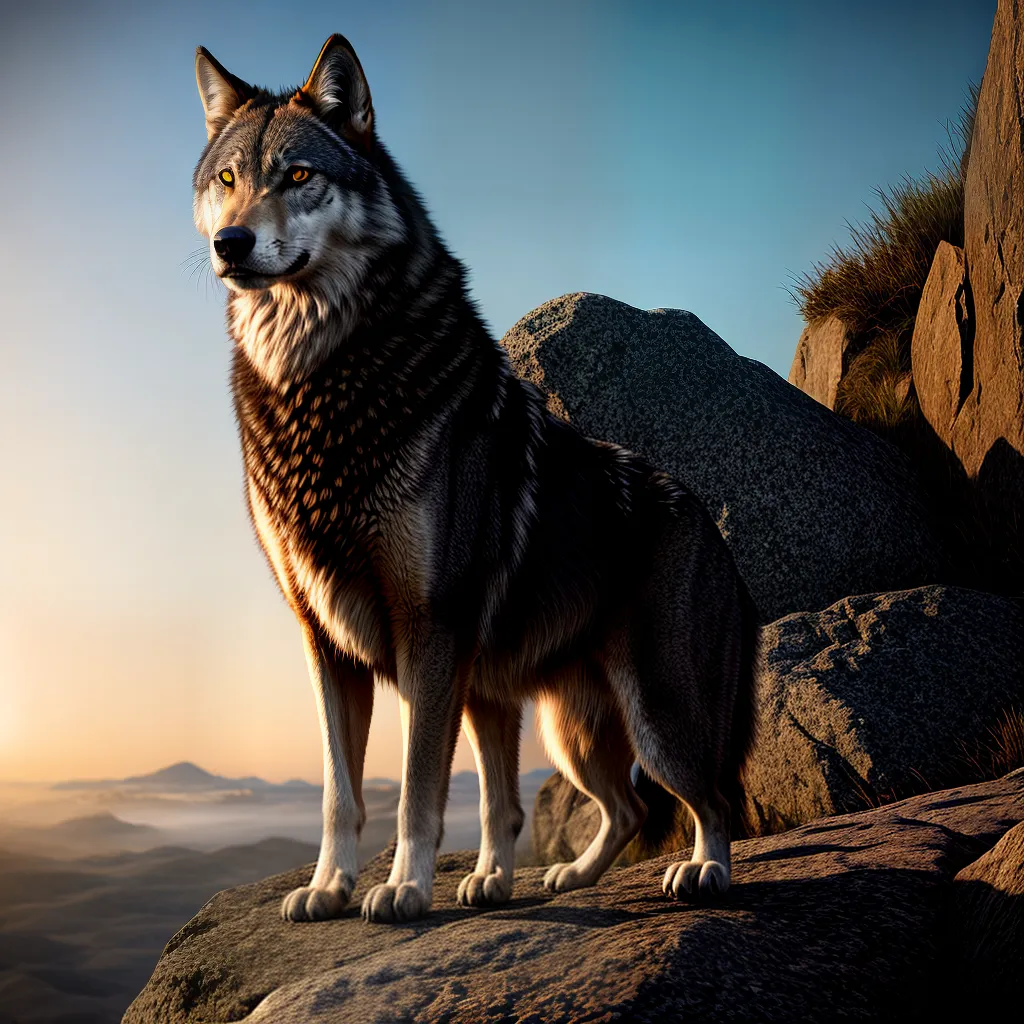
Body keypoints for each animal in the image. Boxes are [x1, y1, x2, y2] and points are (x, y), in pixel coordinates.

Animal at [193, 35, 759, 924]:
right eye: (227, 180)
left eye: (298, 175)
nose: (232, 245)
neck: (315, 381)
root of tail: (715, 532)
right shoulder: (325, 641)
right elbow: (340, 793)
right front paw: (329, 888)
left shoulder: (430, 631)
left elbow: (416, 789)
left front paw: (402, 889)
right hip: (554, 726)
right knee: (604, 805)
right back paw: (534, 879)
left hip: (656, 717)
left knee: (706, 796)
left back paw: (704, 873)